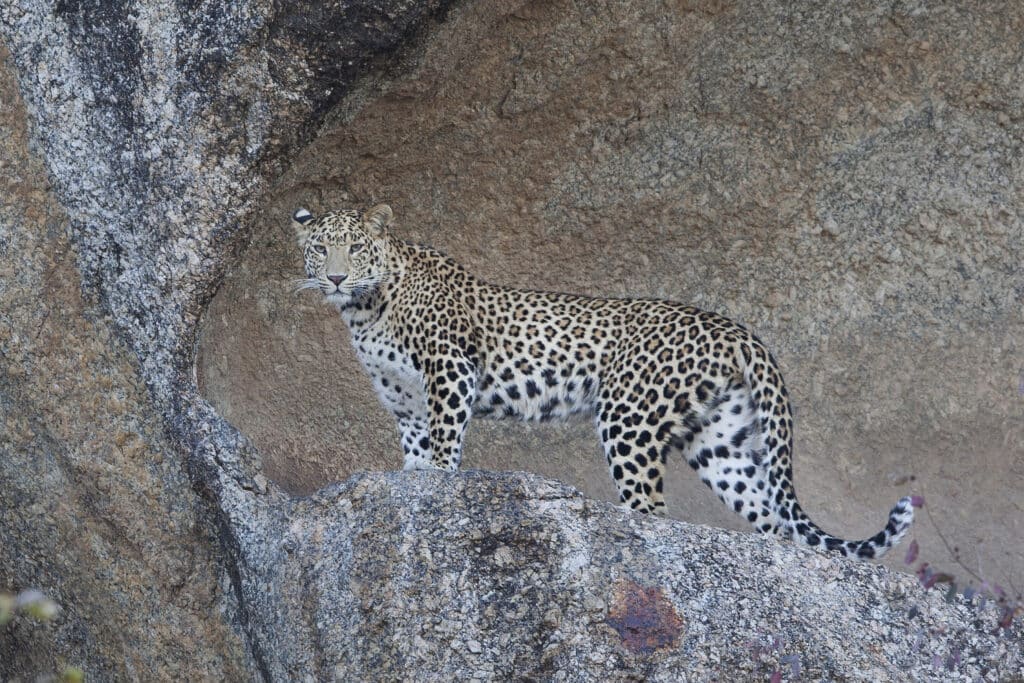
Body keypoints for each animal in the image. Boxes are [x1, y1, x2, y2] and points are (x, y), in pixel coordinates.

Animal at [292, 203, 915, 559]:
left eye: (355, 248)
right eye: (321, 248)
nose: (336, 276)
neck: (364, 309)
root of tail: (735, 327)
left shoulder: (449, 370)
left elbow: (445, 443)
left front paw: (440, 485)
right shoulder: (403, 401)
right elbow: (416, 451)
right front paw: (412, 484)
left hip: (628, 420)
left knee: (654, 512)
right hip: (719, 441)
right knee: (773, 518)